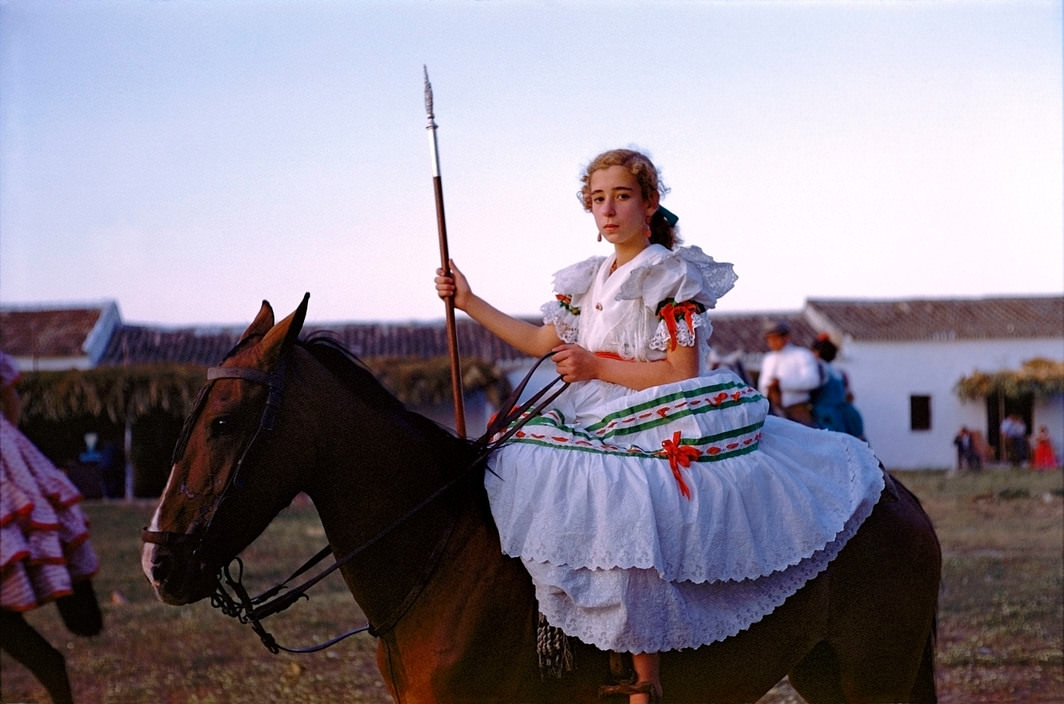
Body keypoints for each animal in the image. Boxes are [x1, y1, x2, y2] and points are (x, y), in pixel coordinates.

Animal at [139, 297, 940, 704]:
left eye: (223, 422)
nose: (157, 563)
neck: (435, 549)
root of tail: (898, 494)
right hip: (825, 671)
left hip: (874, 675)